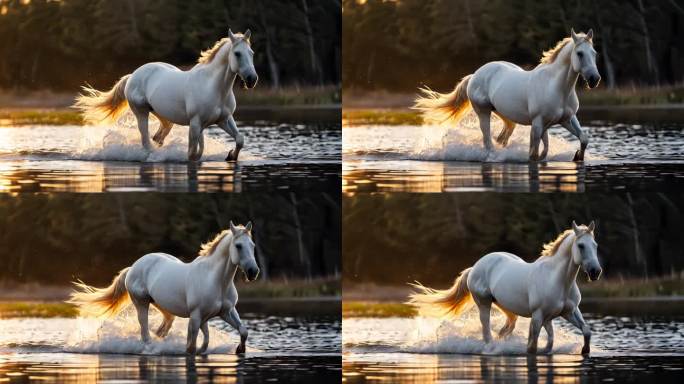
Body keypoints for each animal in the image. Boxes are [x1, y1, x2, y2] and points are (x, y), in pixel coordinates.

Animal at [68, 220, 260, 356]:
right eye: (238, 246)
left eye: (252, 245)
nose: (253, 272)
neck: (217, 281)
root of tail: (133, 267)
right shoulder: (196, 316)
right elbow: (191, 347)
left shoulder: (225, 312)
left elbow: (241, 331)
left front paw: (240, 350)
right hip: (141, 303)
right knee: (144, 331)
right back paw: (150, 349)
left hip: (163, 307)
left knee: (161, 329)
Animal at [74, 28, 256, 162]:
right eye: (237, 53)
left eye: (251, 53)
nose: (252, 79)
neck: (215, 88)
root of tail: (132, 76)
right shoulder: (195, 123)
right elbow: (192, 154)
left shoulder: (224, 119)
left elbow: (239, 139)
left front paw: (230, 156)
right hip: (141, 113)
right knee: (146, 141)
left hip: (164, 117)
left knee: (157, 138)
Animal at [408, 220, 600, 356]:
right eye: (581, 245)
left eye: (595, 245)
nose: (595, 272)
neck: (559, 280)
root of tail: (475, 267)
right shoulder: (538, 316)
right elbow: (532, 346)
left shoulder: (567, 312)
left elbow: (583, 331)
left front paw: (585, 351)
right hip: (484, 304)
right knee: (486, 331)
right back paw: (491, 349)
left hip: (507, 309)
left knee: (505, 329)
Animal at [412, 29, 600, 162]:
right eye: (580, 53)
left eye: (594, 53)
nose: (594, 79)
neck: (557, 87)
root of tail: (475, 75)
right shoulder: (538, 123)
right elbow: (533, 154)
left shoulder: (567, 119)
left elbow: (582, 138)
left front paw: (577, 156)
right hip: (483, 113)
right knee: (488, 142)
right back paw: (493, 158)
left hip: (505, 116)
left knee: (501, 138)